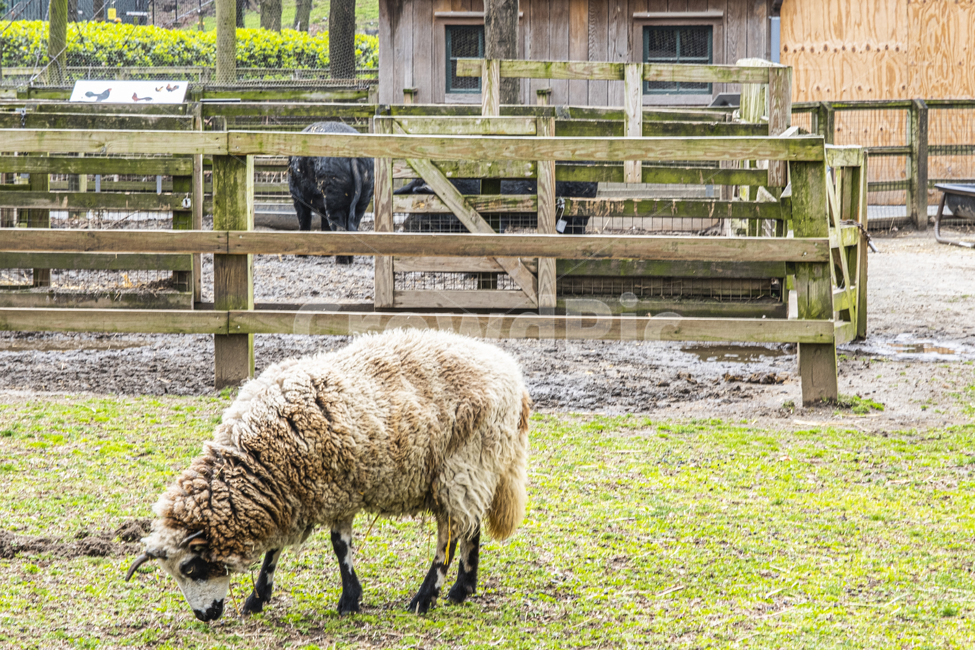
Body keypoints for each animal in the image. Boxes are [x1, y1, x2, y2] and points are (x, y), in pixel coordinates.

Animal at [125, 329, 531, 621]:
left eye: (191, 567)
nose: (205, 616)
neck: (255, 459)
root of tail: (512, 374)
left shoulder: (335, 490)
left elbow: (339, 547)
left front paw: (349, 601)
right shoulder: (289, 495)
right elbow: (274, 551)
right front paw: (257, 599)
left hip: (460, 464)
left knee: (449, 536)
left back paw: (425, 597)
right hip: (477, 469)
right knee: (470, 527)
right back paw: (462, 589)